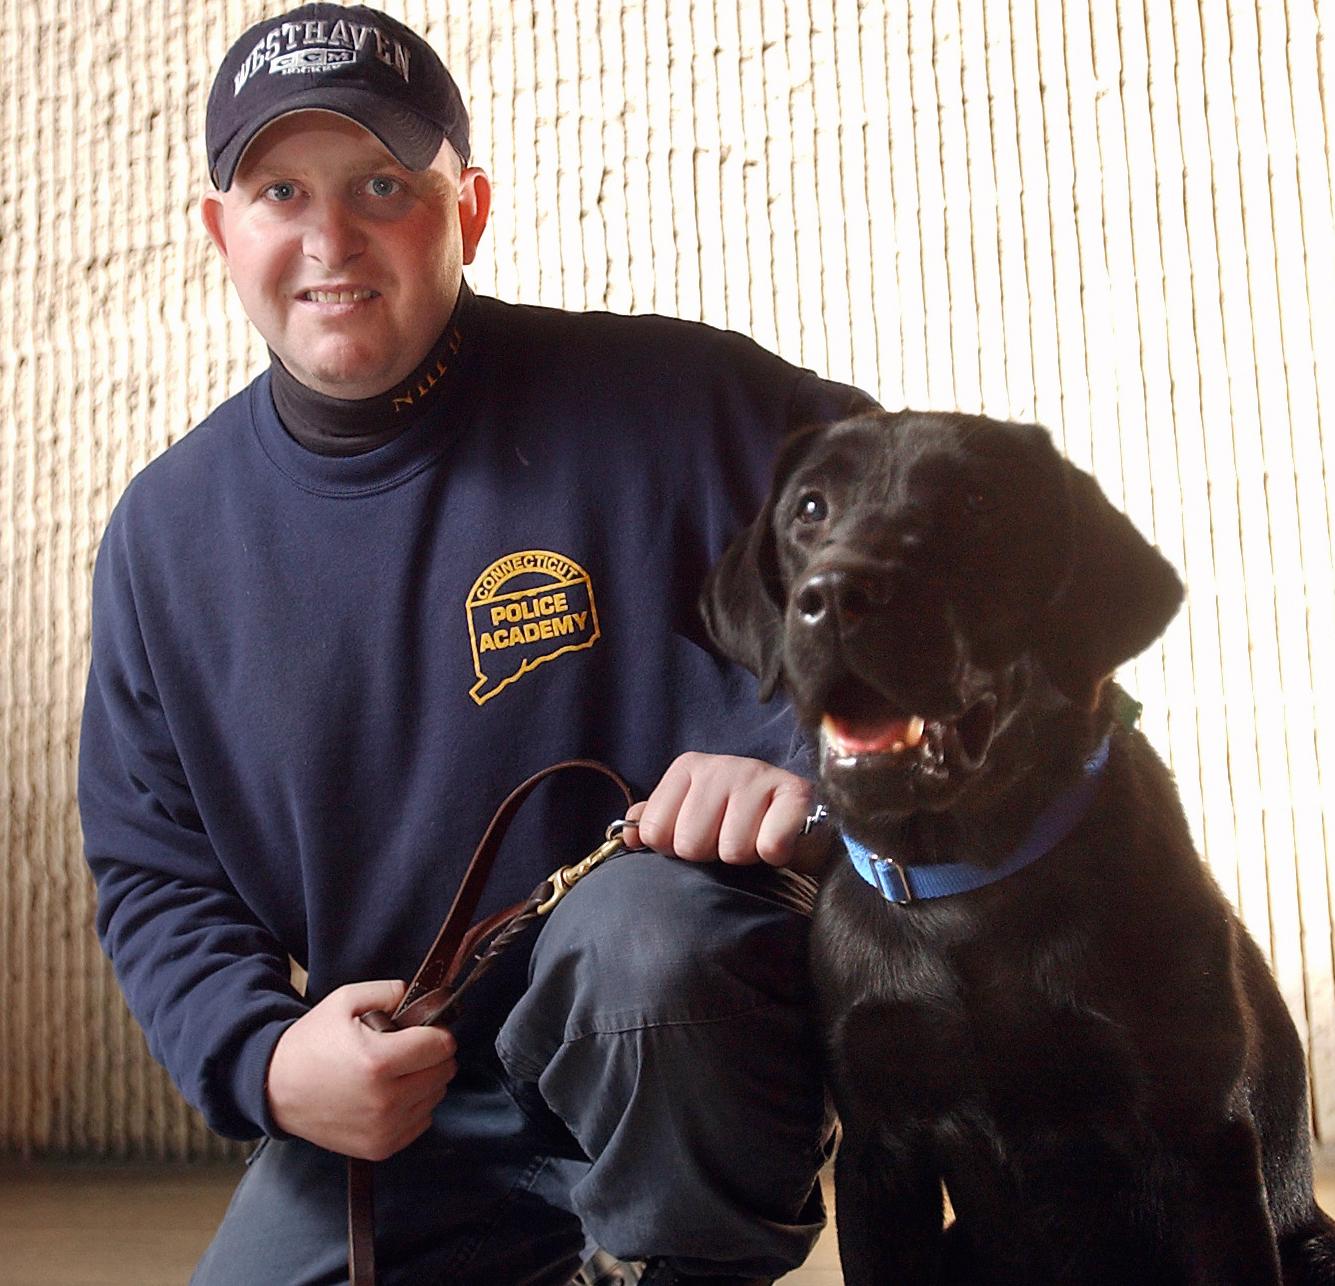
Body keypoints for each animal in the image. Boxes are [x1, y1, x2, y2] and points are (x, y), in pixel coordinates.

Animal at [704, 411, 1329, 1286]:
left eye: (976, 503)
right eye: (809, 507)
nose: (832, 597)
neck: (962, 884)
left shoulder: (1202, 1141)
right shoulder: (877, 1155)